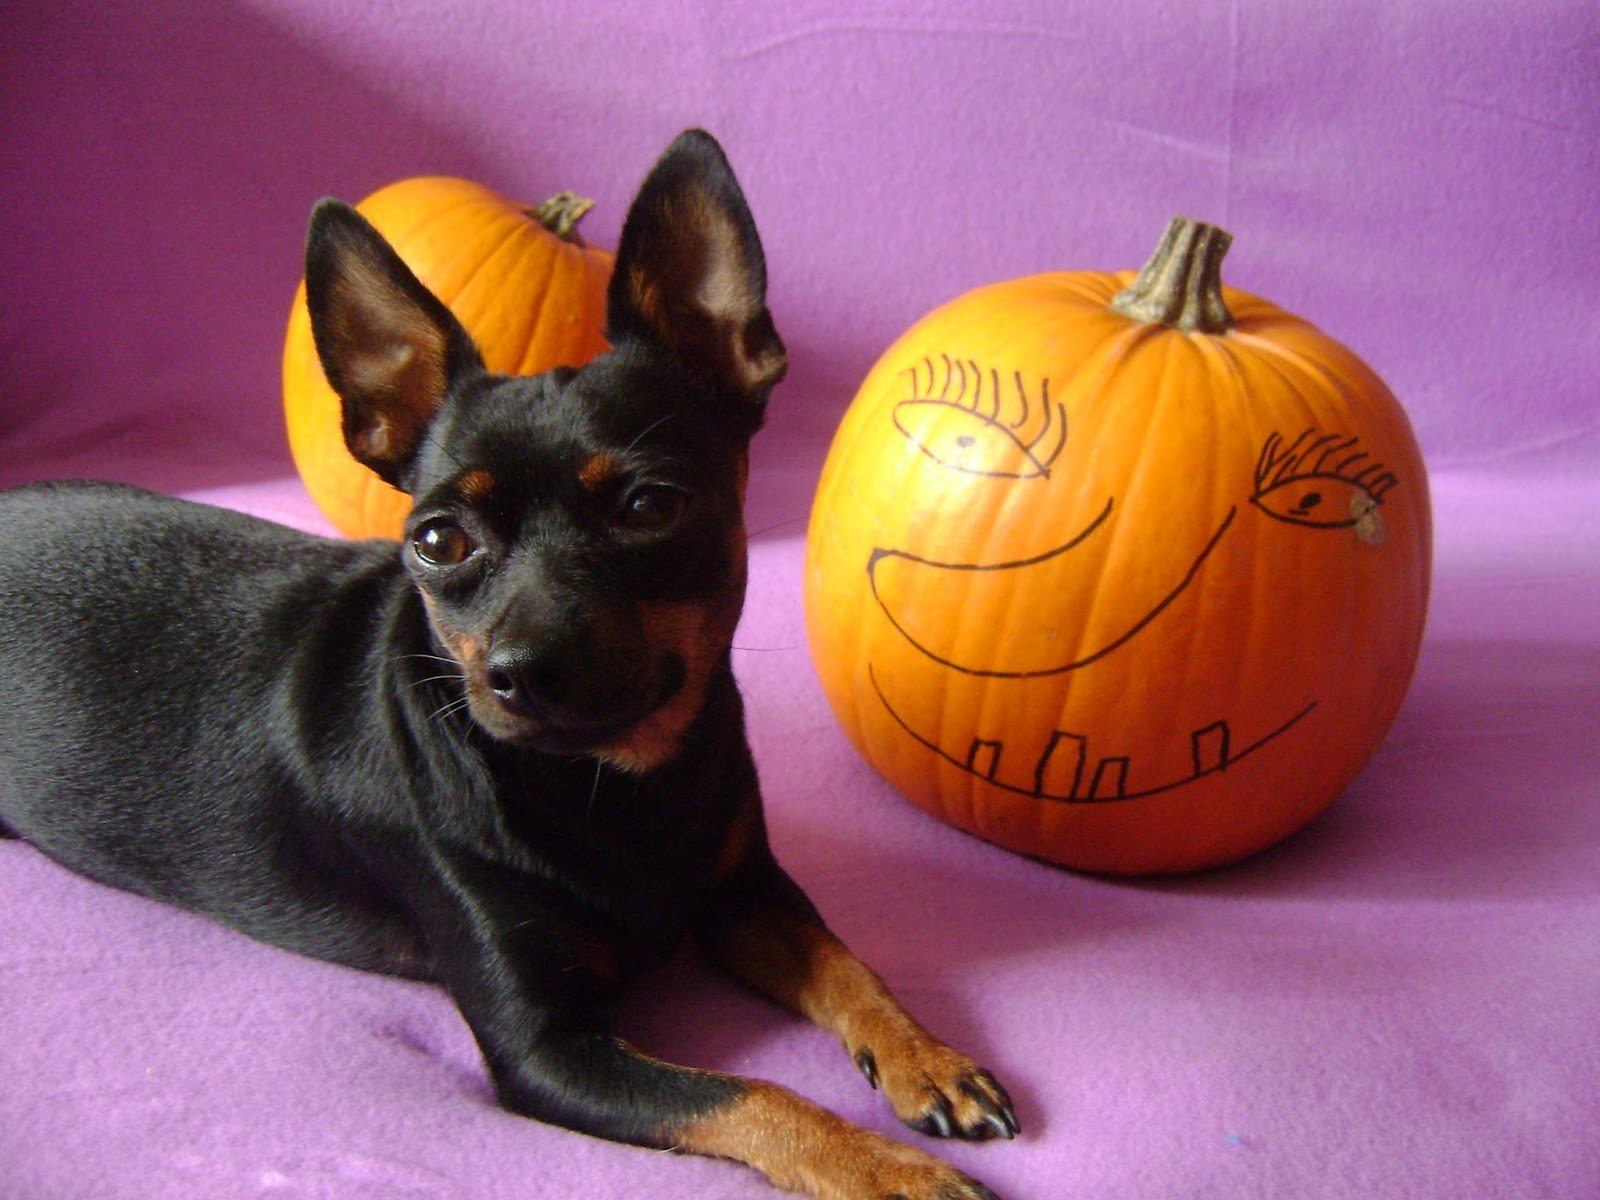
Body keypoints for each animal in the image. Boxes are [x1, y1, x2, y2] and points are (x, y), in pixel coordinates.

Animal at [0, 130, 1016, 1200]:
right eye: (437, 541)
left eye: (650, 508)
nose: (524, 671)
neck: (614, 785)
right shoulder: (548, 1052)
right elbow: (755, 1100)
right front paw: (888, 1169)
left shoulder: (745, 894)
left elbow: (849, 966)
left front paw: (926, 1058)